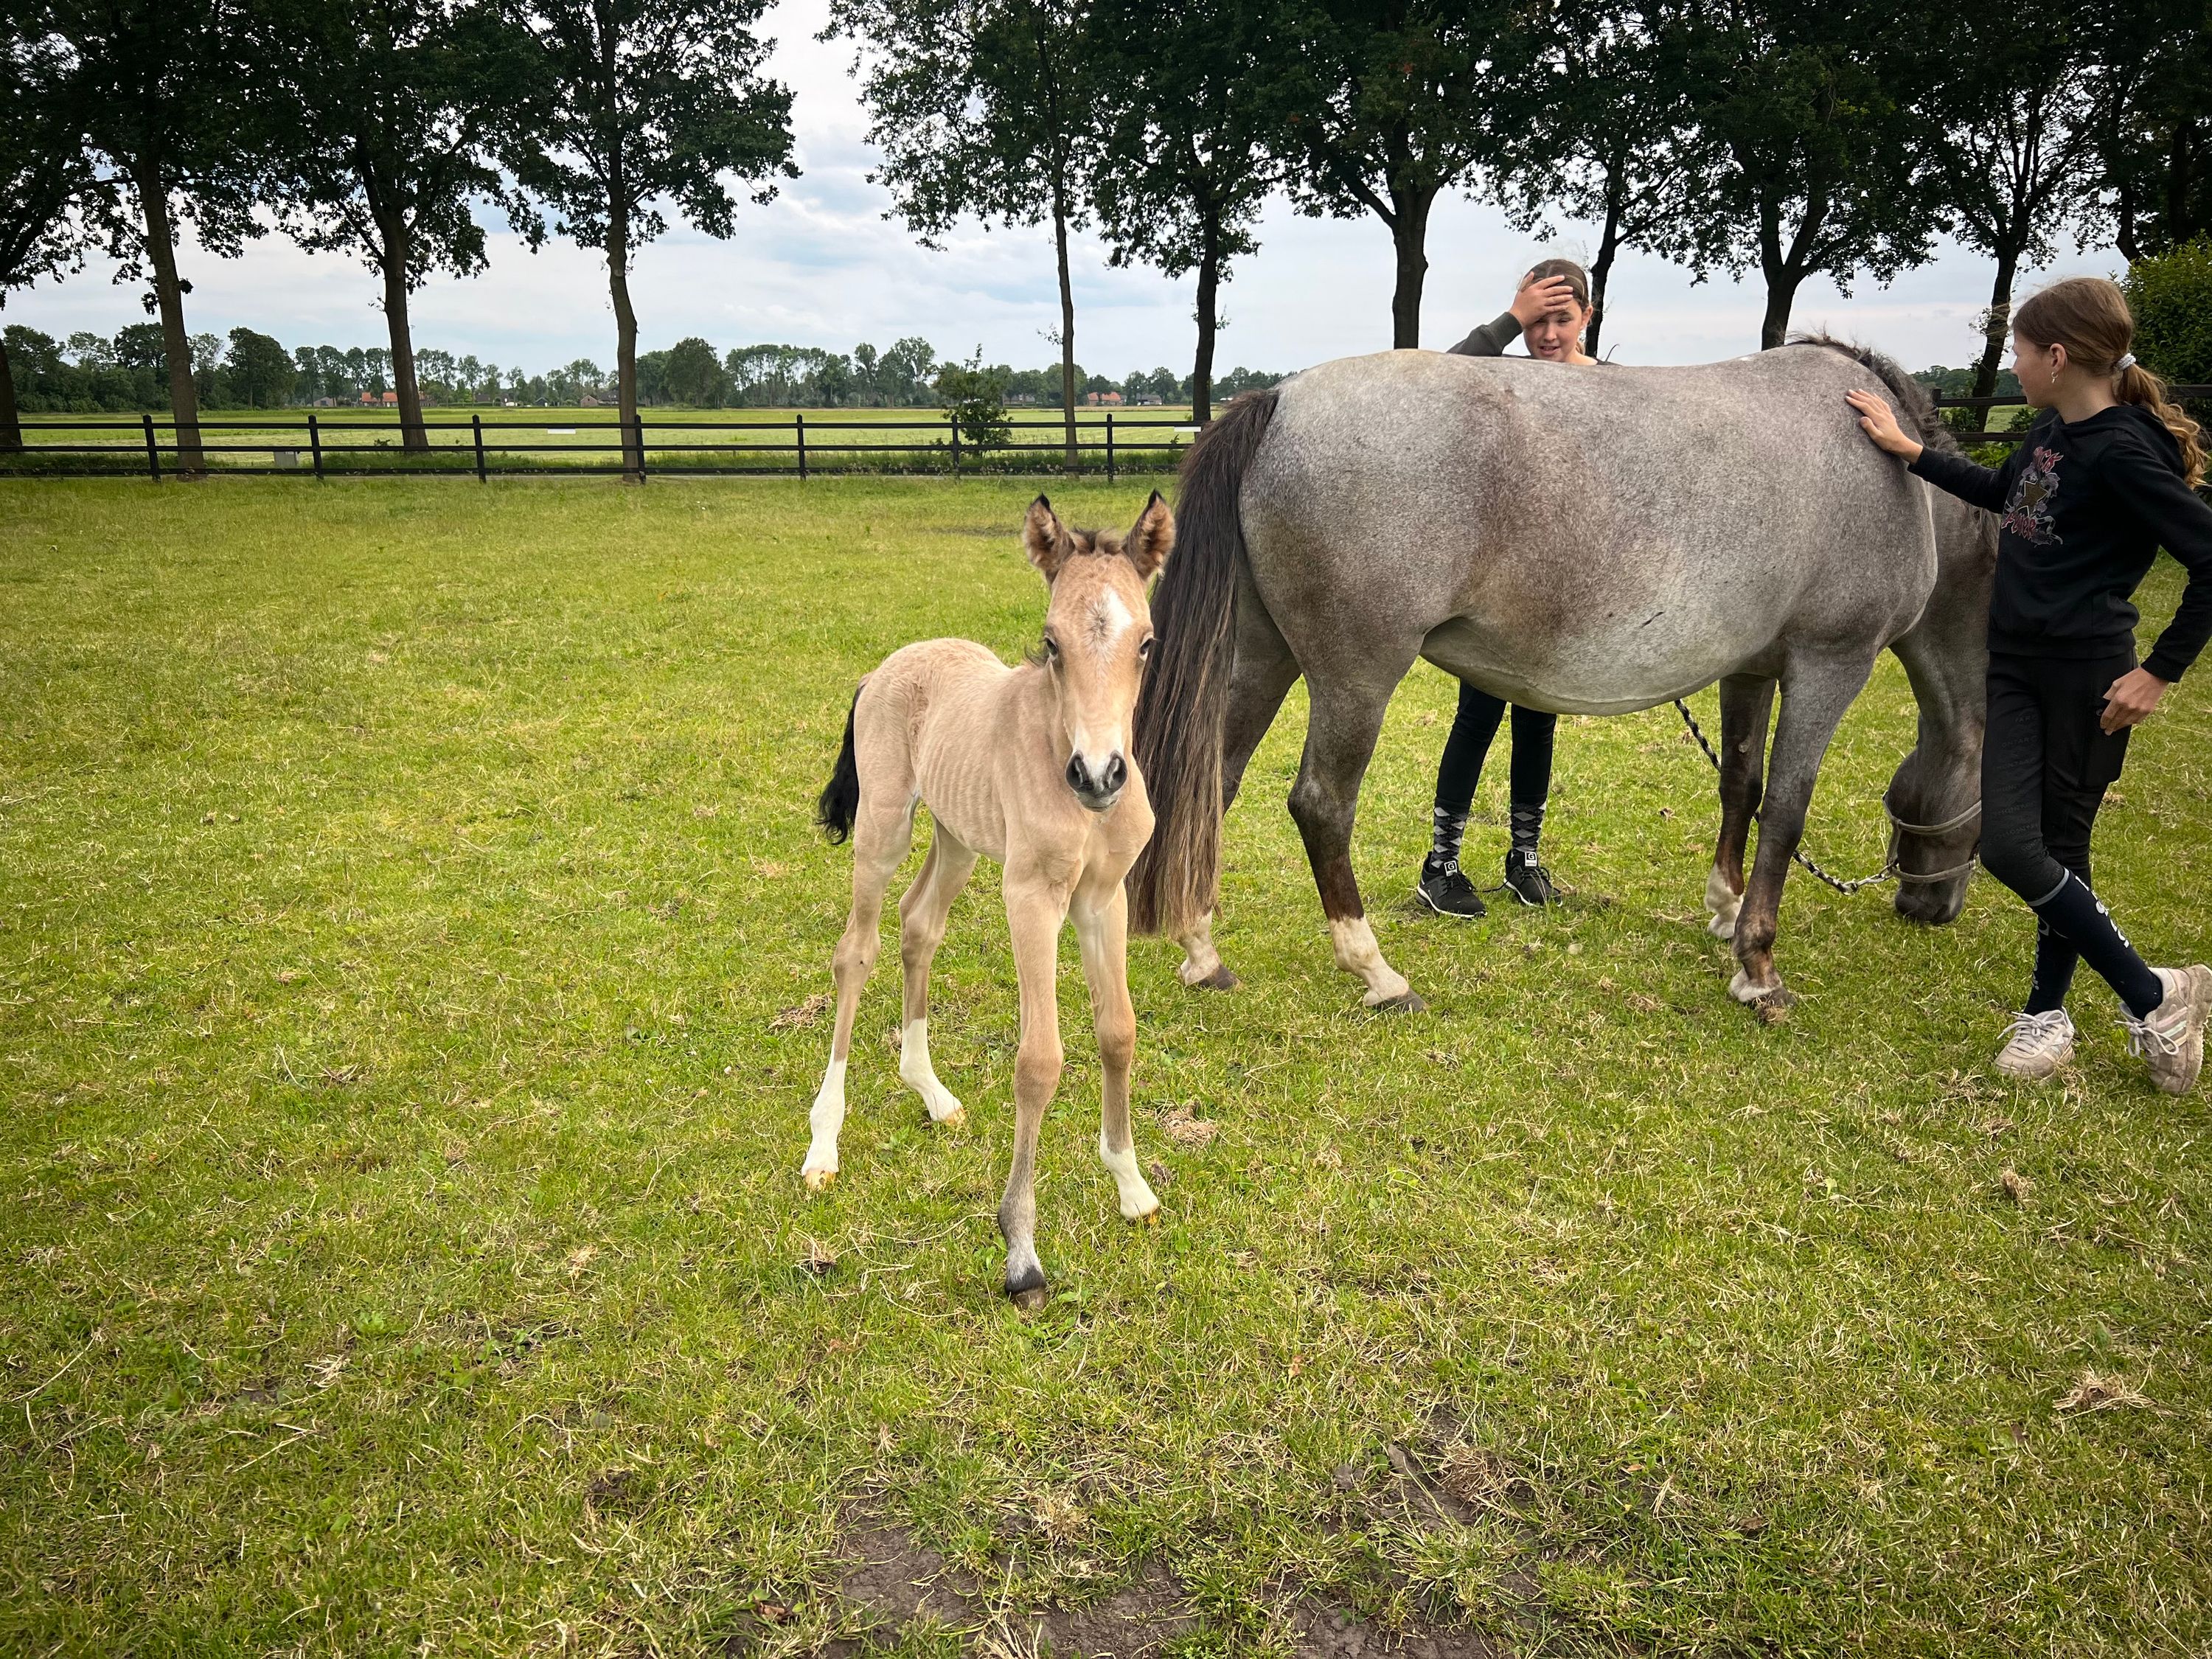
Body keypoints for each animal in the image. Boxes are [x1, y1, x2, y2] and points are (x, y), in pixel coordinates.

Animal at [807, 493, 1176, 1309]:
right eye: (1051, 643)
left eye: (1146, 643)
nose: (1099, 774)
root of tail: (887, 665)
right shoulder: (1030, 896)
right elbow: (1040, 1060)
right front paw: (1022, 1251)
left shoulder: (1103, 898)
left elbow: (1118, 1031)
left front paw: (1131, 1186)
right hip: (884, 828)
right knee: (857, 951)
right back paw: (823, 1141)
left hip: (957, 839)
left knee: (919, 925)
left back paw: (931, 1093)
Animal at [1125, 340, 1991, 1012]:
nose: (1930, 907)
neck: (1891, 470)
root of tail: (1281, 399)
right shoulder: (1831, 662)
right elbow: (1785, 809)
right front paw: (1758, 967)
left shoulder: (1750, 668)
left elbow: (1740, 785)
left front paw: (1723, 910)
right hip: (1356, 677)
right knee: (1320, 805)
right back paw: (1377, 972)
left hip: (1259, 656)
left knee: (1215, 781)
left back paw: (1203, 956)